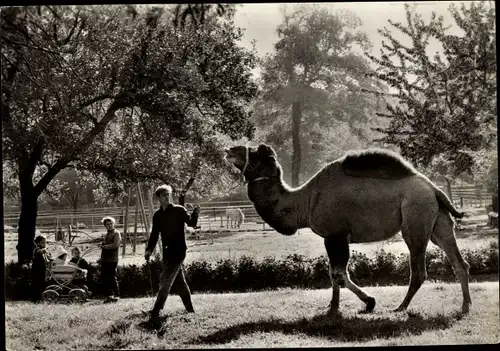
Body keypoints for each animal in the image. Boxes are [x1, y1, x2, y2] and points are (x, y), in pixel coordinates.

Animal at [225, 144, 470, 314]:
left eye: (257, 153)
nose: (230, 150)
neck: (304, 201)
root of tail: (434, 188)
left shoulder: (337, 235)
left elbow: (339, 275)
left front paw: (370, 302)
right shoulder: (329, 238)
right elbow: (332, 274)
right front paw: (332, 307)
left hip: (415, 218)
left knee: (418, 270)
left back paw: (401, 307)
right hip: (438, 220)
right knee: (459, 262)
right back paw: (466, 305)